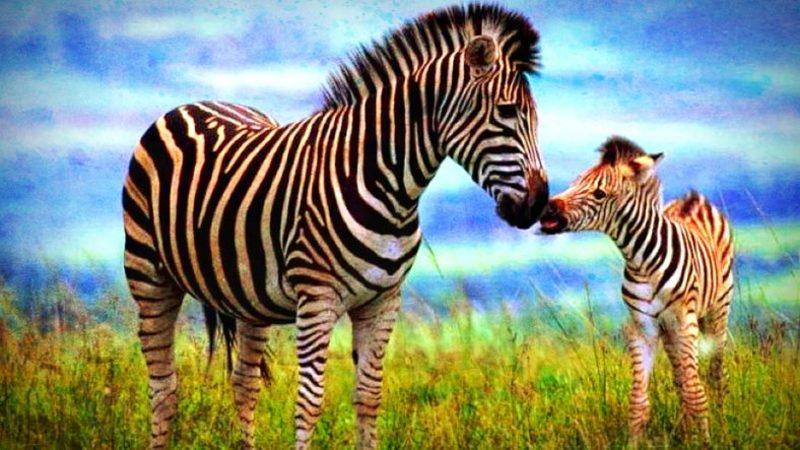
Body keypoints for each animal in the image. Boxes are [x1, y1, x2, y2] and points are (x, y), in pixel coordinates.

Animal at [122, 4, 549, 449]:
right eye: (507, 112)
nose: (538, 204)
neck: (386, 185)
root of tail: (193, 103)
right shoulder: (318, 299)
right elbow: (310, 402)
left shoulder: (383, 301)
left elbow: (369, 396)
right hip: (148, 275)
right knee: (164, 386)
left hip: (248, 297)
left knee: (244, 383)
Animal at [539, 137, 733, 442]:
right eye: (575, 182)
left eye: (599, 194)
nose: (547, 209)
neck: (642, 262)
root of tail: (694, 199)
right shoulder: (644, 327)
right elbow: (639, 400)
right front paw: (636, 442)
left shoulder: (683, 322)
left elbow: (696, 393)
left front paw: (705, 441)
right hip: (670, 330)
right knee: (681, 377)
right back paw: (684, 428)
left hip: (717, 311)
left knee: (715, 374)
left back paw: (720, 422)